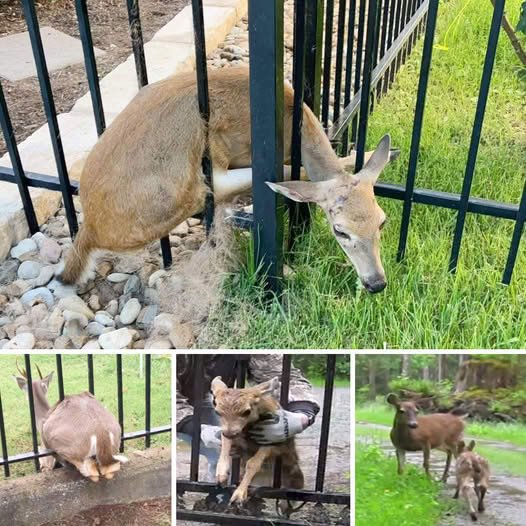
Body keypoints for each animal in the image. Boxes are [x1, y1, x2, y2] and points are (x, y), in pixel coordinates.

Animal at [62, 67, 400, 292]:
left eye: (382, 221)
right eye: (339, 230)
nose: (376, 283)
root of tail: (91, 227)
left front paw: (385, 150)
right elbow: (289, 175)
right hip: (183, 188)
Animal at [211, 378, 306, 510]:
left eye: (247, 411)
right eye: (217, 412)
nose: (230, 433)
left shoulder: (272, 438)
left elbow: (253, 463)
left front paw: (238, 496)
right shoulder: (228, 432)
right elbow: (225, 448)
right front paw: (221, 476)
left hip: (294, 475)